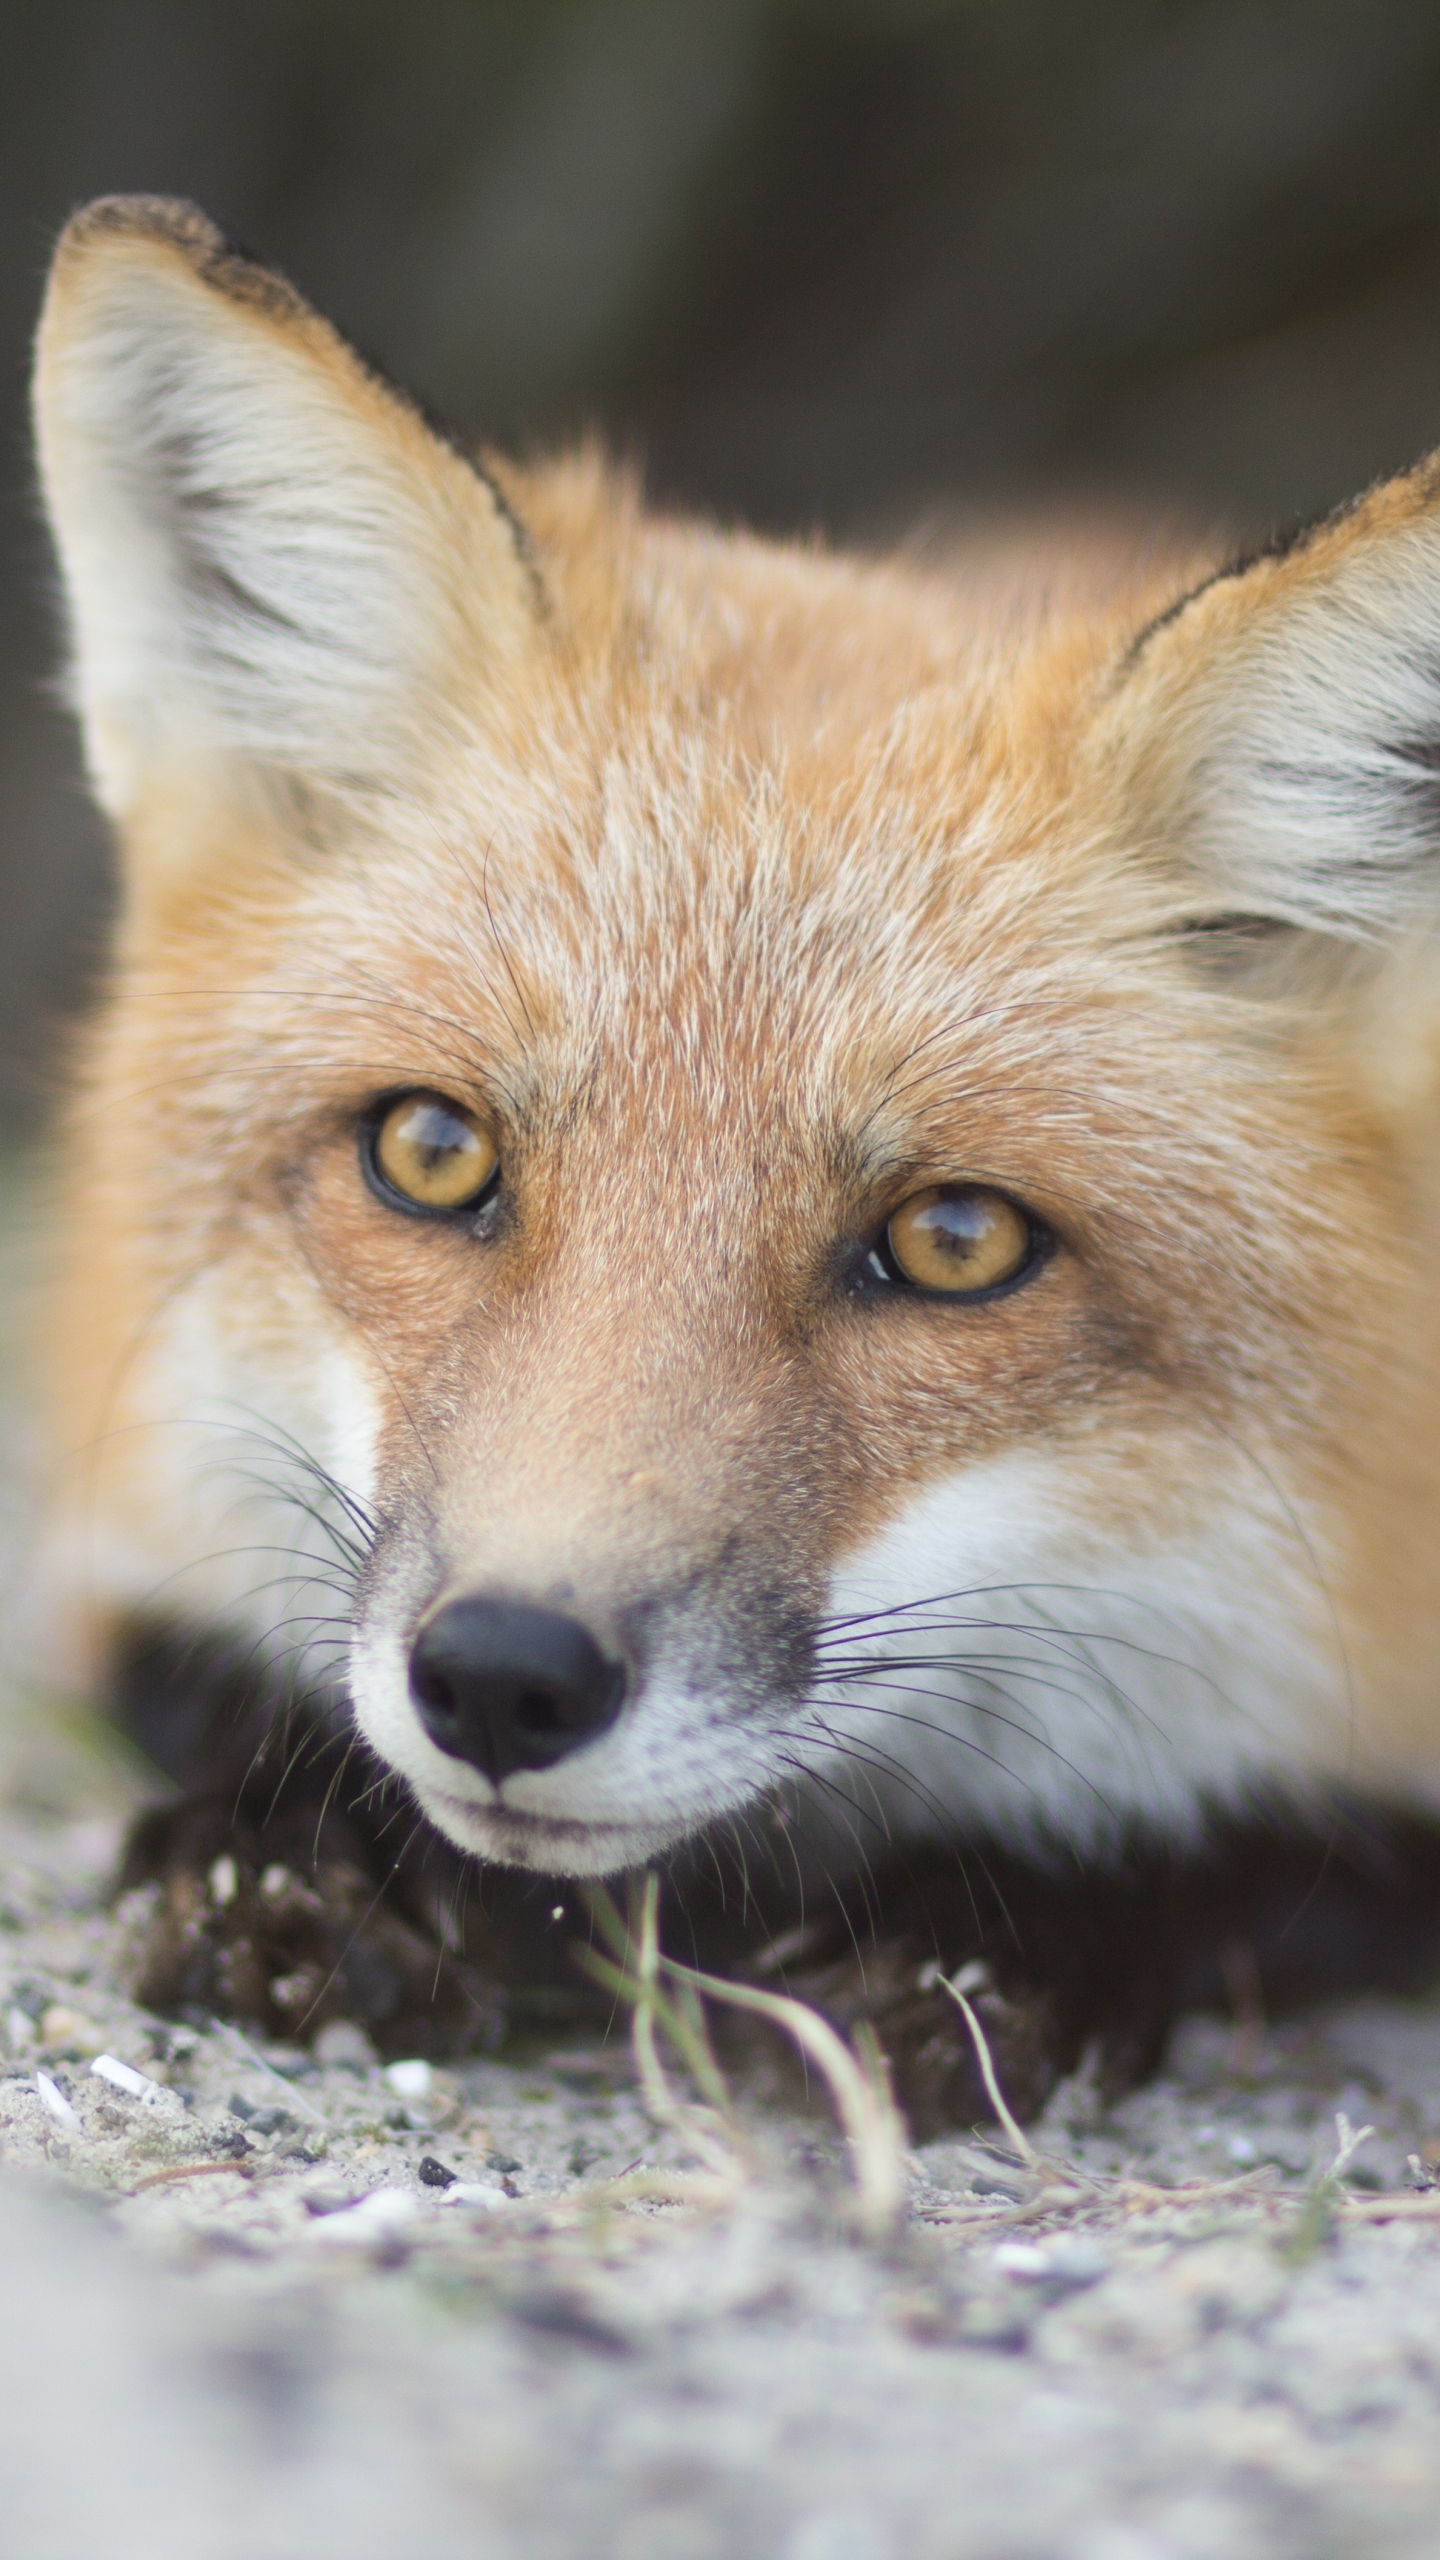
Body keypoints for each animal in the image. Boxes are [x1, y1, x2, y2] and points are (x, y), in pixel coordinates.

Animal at [22, 199, 1440, 2109]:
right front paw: (305, 1849)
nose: (504, 1679)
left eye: (956, 1242)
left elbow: (1258, 1845)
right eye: (431, 1150)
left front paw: (1003, 1931)